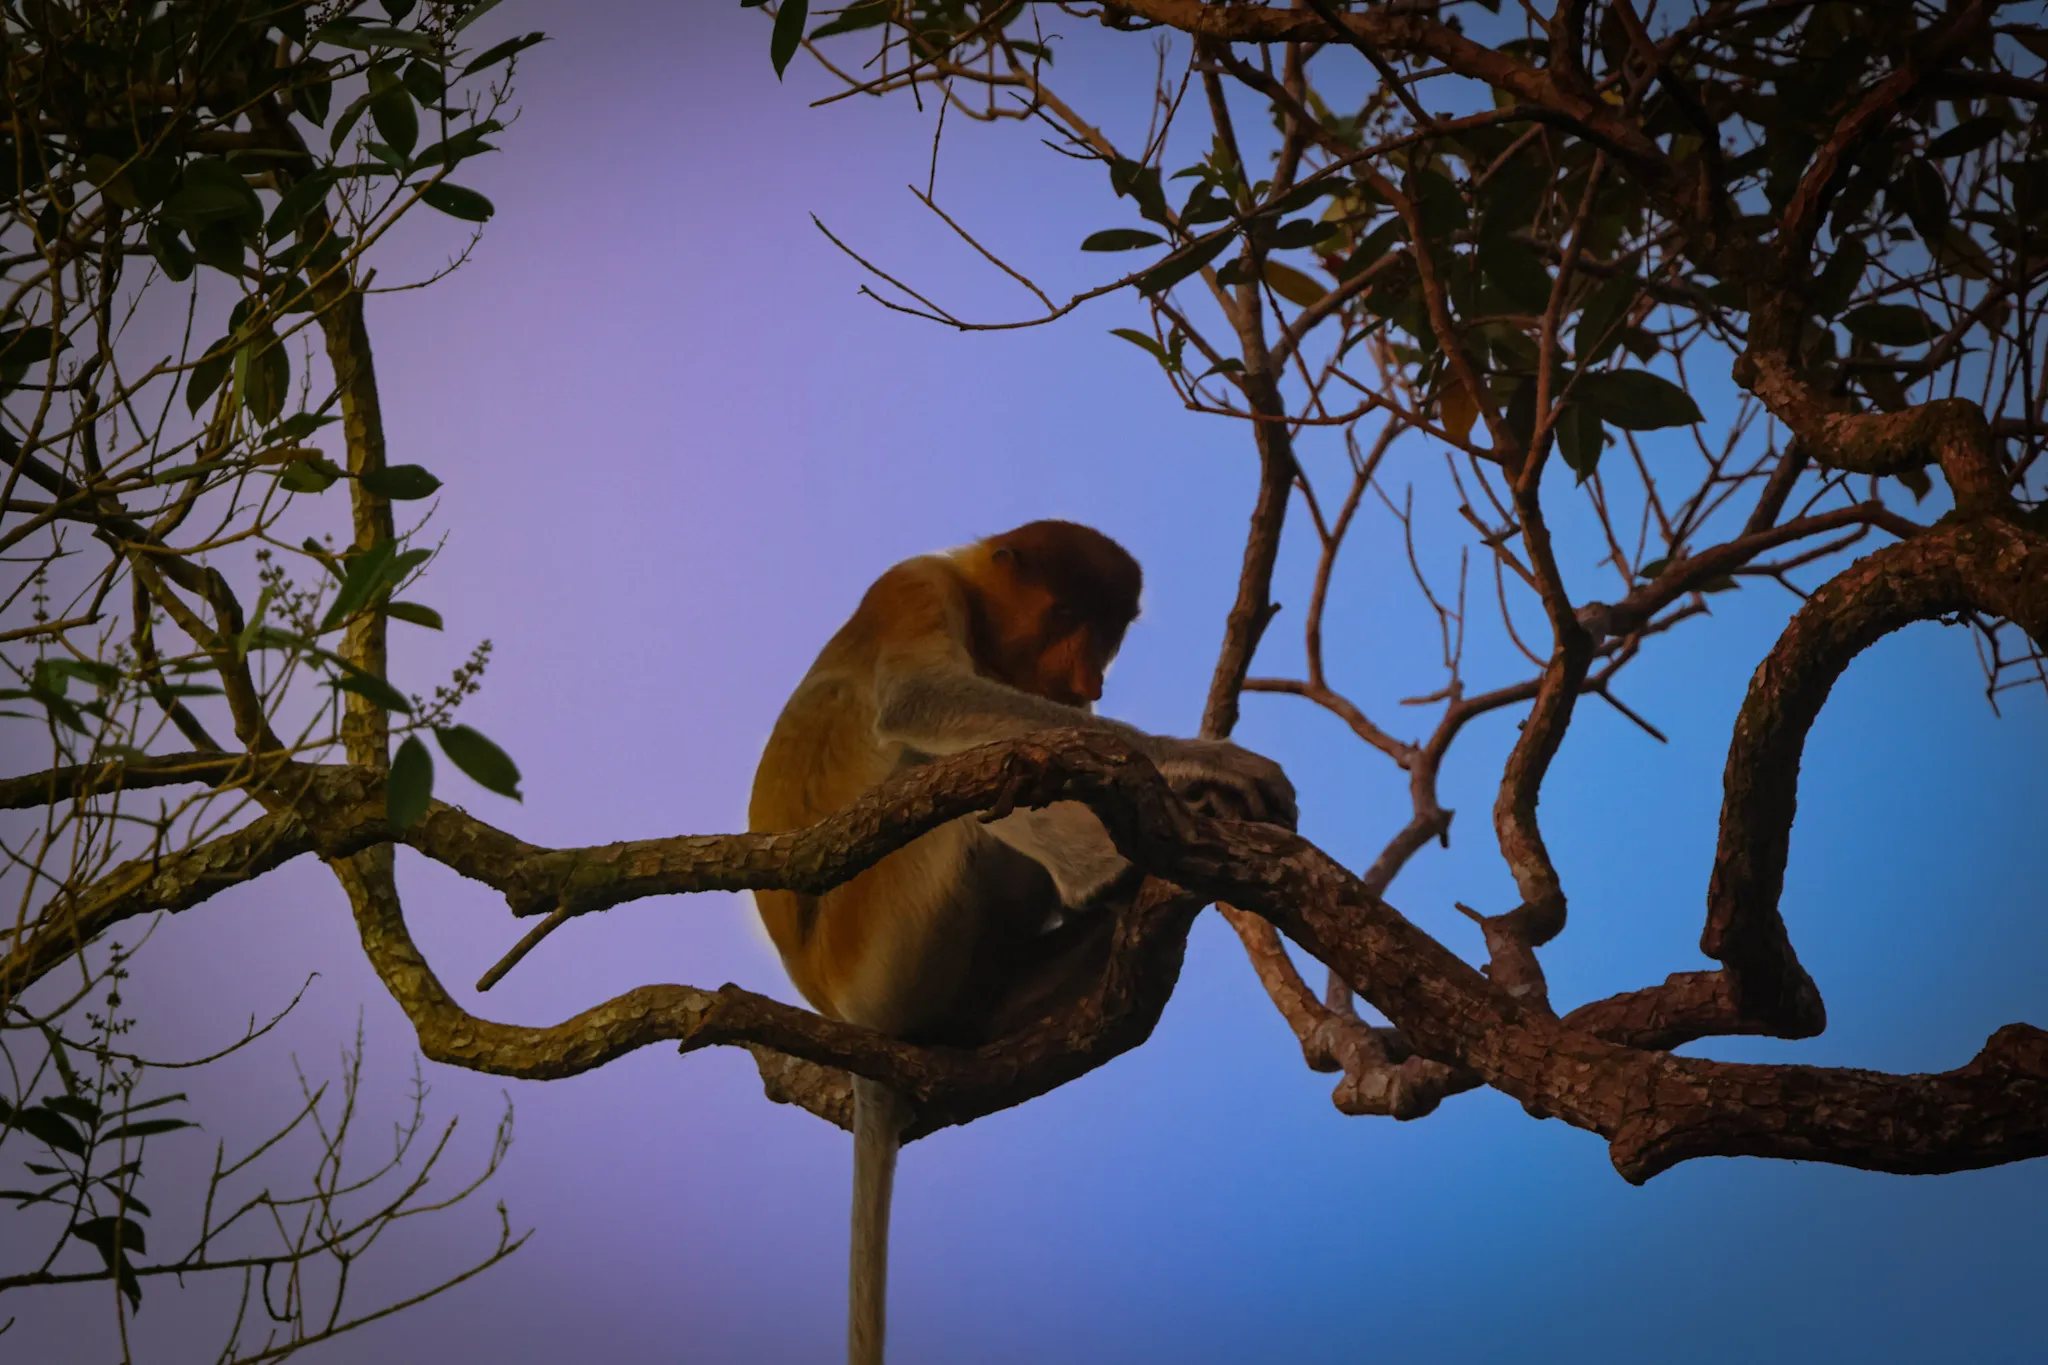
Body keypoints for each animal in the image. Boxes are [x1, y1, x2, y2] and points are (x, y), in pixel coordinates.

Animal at [748, 520, 1295, 1365]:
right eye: (1064, 612)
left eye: (1107, 630)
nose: (1088, 678)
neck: (975, 599)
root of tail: (840, 1013)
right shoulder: (910, 587)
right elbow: (923, 698)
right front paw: (1207, 760)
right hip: (883, 940)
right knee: (957, 765)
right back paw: (1105, 873)